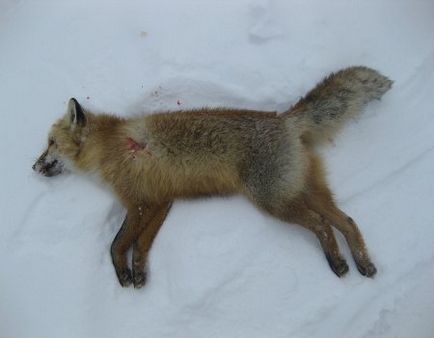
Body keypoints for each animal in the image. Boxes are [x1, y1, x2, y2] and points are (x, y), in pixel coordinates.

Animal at [33, 66, 394, 288]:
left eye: (50, 144)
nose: (33, 167)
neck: (111, 150)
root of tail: (284, 119)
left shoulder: (139, 203)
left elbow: (117, 243)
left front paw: (124, 274)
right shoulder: (160, 201)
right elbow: (142, 245)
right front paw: (139, 275)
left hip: (273, 200)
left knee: (321, 225)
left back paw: (337, 263)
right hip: (301, 191)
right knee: (346, 221)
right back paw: (362, 264)